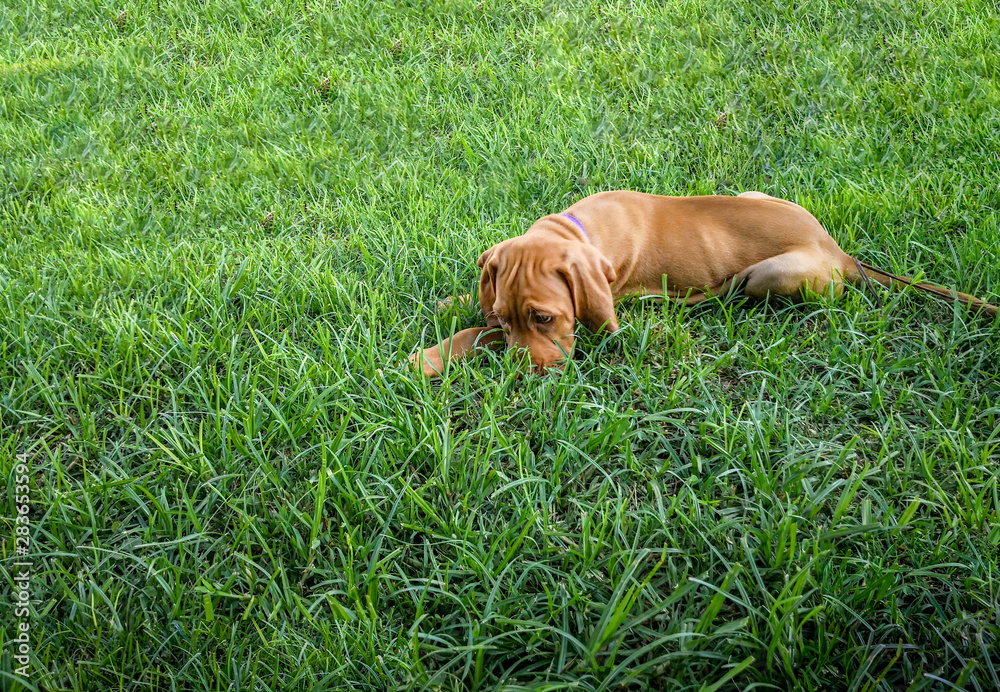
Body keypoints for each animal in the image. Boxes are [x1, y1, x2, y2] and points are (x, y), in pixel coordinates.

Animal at [410, 191, 996, 378]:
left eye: (544, 318)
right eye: (509, 318)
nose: (521, 375)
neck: (575, 229)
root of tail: (839, 251)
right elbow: (474, 319)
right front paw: (445, 317)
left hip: (769, 274)